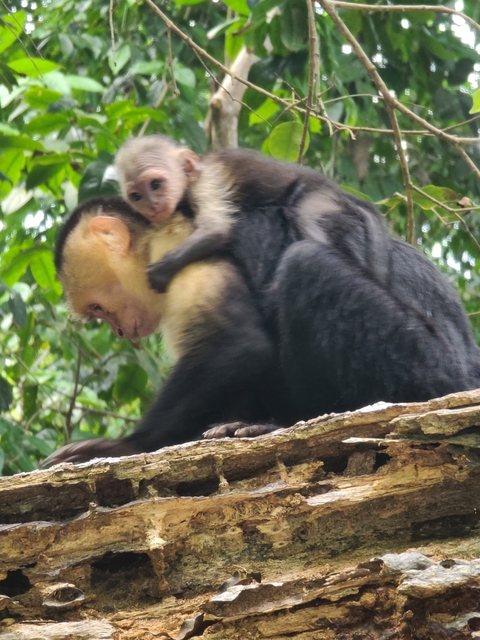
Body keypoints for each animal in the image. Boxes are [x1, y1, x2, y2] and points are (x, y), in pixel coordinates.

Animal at [43, 194, 480, 466]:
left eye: (97, 308)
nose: (118, 331)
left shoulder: (181, 258)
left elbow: (240, 346)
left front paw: (128, 445)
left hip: (427, 369)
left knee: (305, 265)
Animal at [115, 135, 389, 293]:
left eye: (156, 184)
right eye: (137, 196)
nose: (152, 205)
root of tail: (334, 188)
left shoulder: (207, 182)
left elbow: (217, 230)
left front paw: (163, 269)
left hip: (319, 197)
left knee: (305, 216)